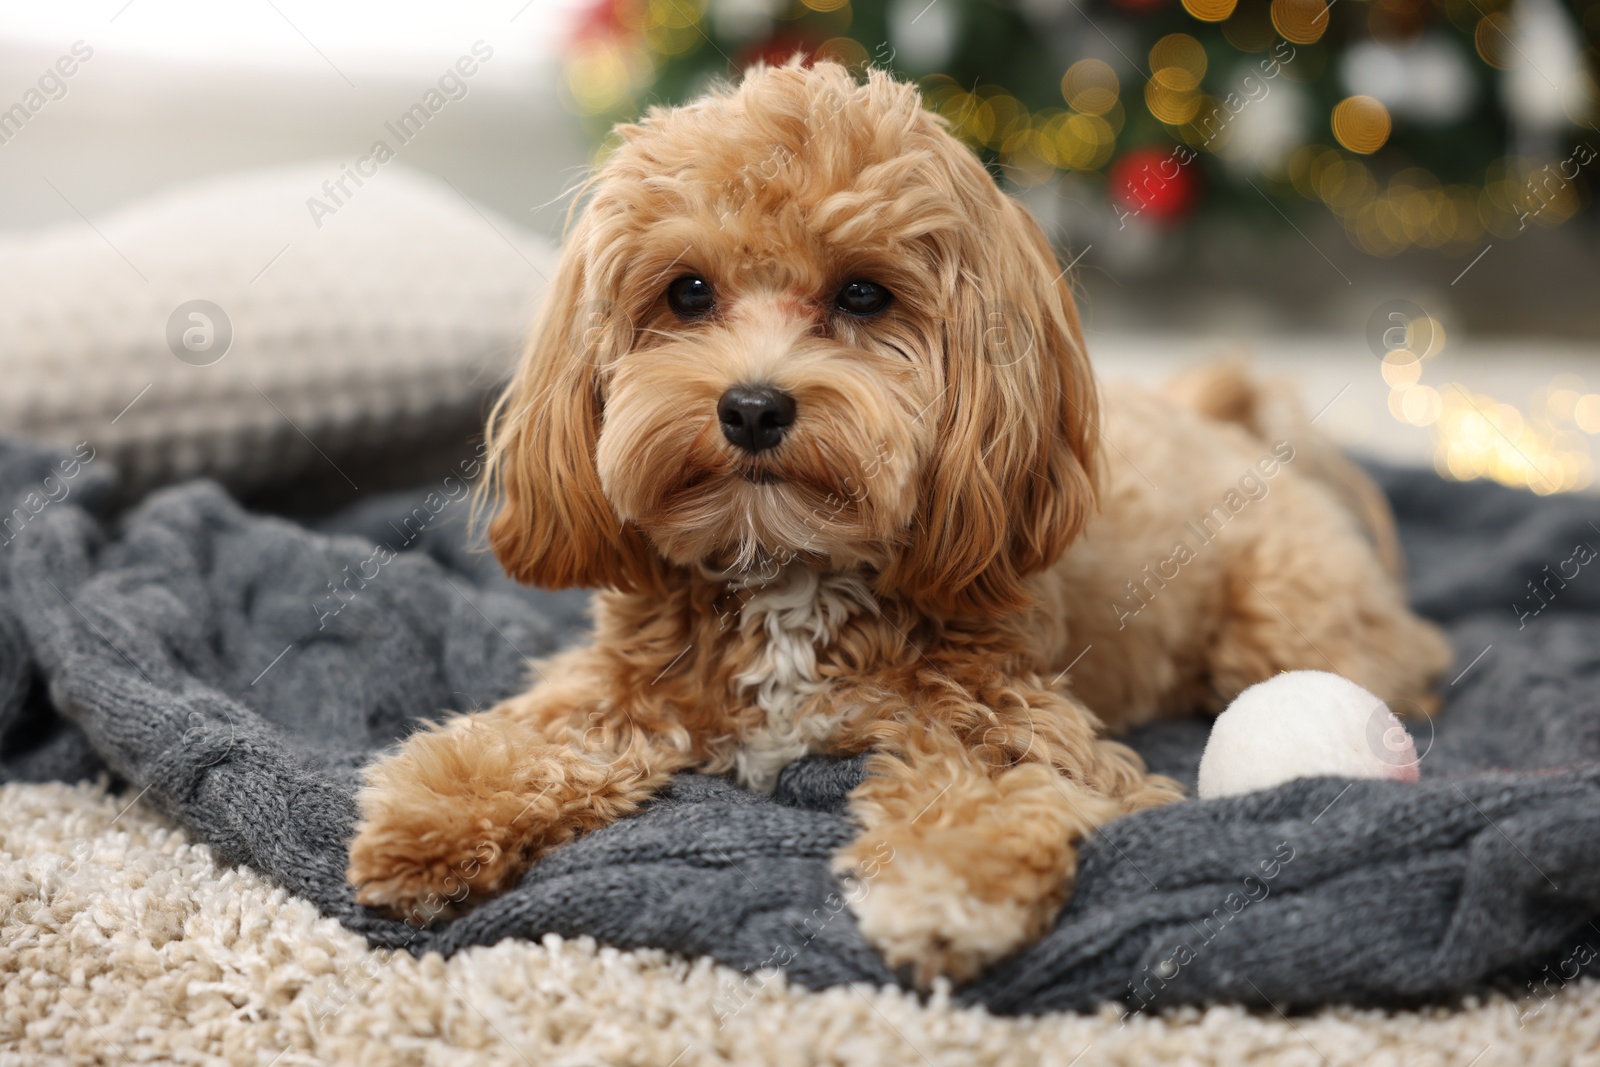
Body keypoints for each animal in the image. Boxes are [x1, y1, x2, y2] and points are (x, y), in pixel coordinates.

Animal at [347, 62, 1452, 991]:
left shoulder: (1012, 722)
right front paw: (435, 813)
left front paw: (946, 886)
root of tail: (1220, 419)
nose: (753, 408)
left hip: (1282, 617)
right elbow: (540, 730)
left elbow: (986, 791)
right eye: (688, 290)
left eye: (862, 293)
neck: (789, 571)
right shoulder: (630, 681)